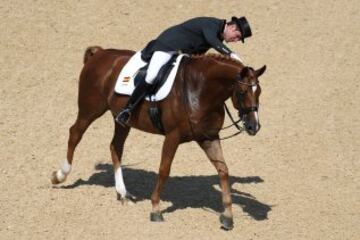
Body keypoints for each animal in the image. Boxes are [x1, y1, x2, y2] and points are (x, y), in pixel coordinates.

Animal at [50, 46, 264, 230]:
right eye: (243, 92)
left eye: (259, 92)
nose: (253, 127)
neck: (200, 90)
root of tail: (99, 53)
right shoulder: (172, 136)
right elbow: (164, 170)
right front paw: (155, 210)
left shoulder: (209, 137)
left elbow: (223, 171)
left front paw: (227, 216)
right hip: (90, 109)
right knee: (75, 134)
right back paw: (60, 175)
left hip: (122, 120)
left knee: (115, 146)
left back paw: (123, 193)